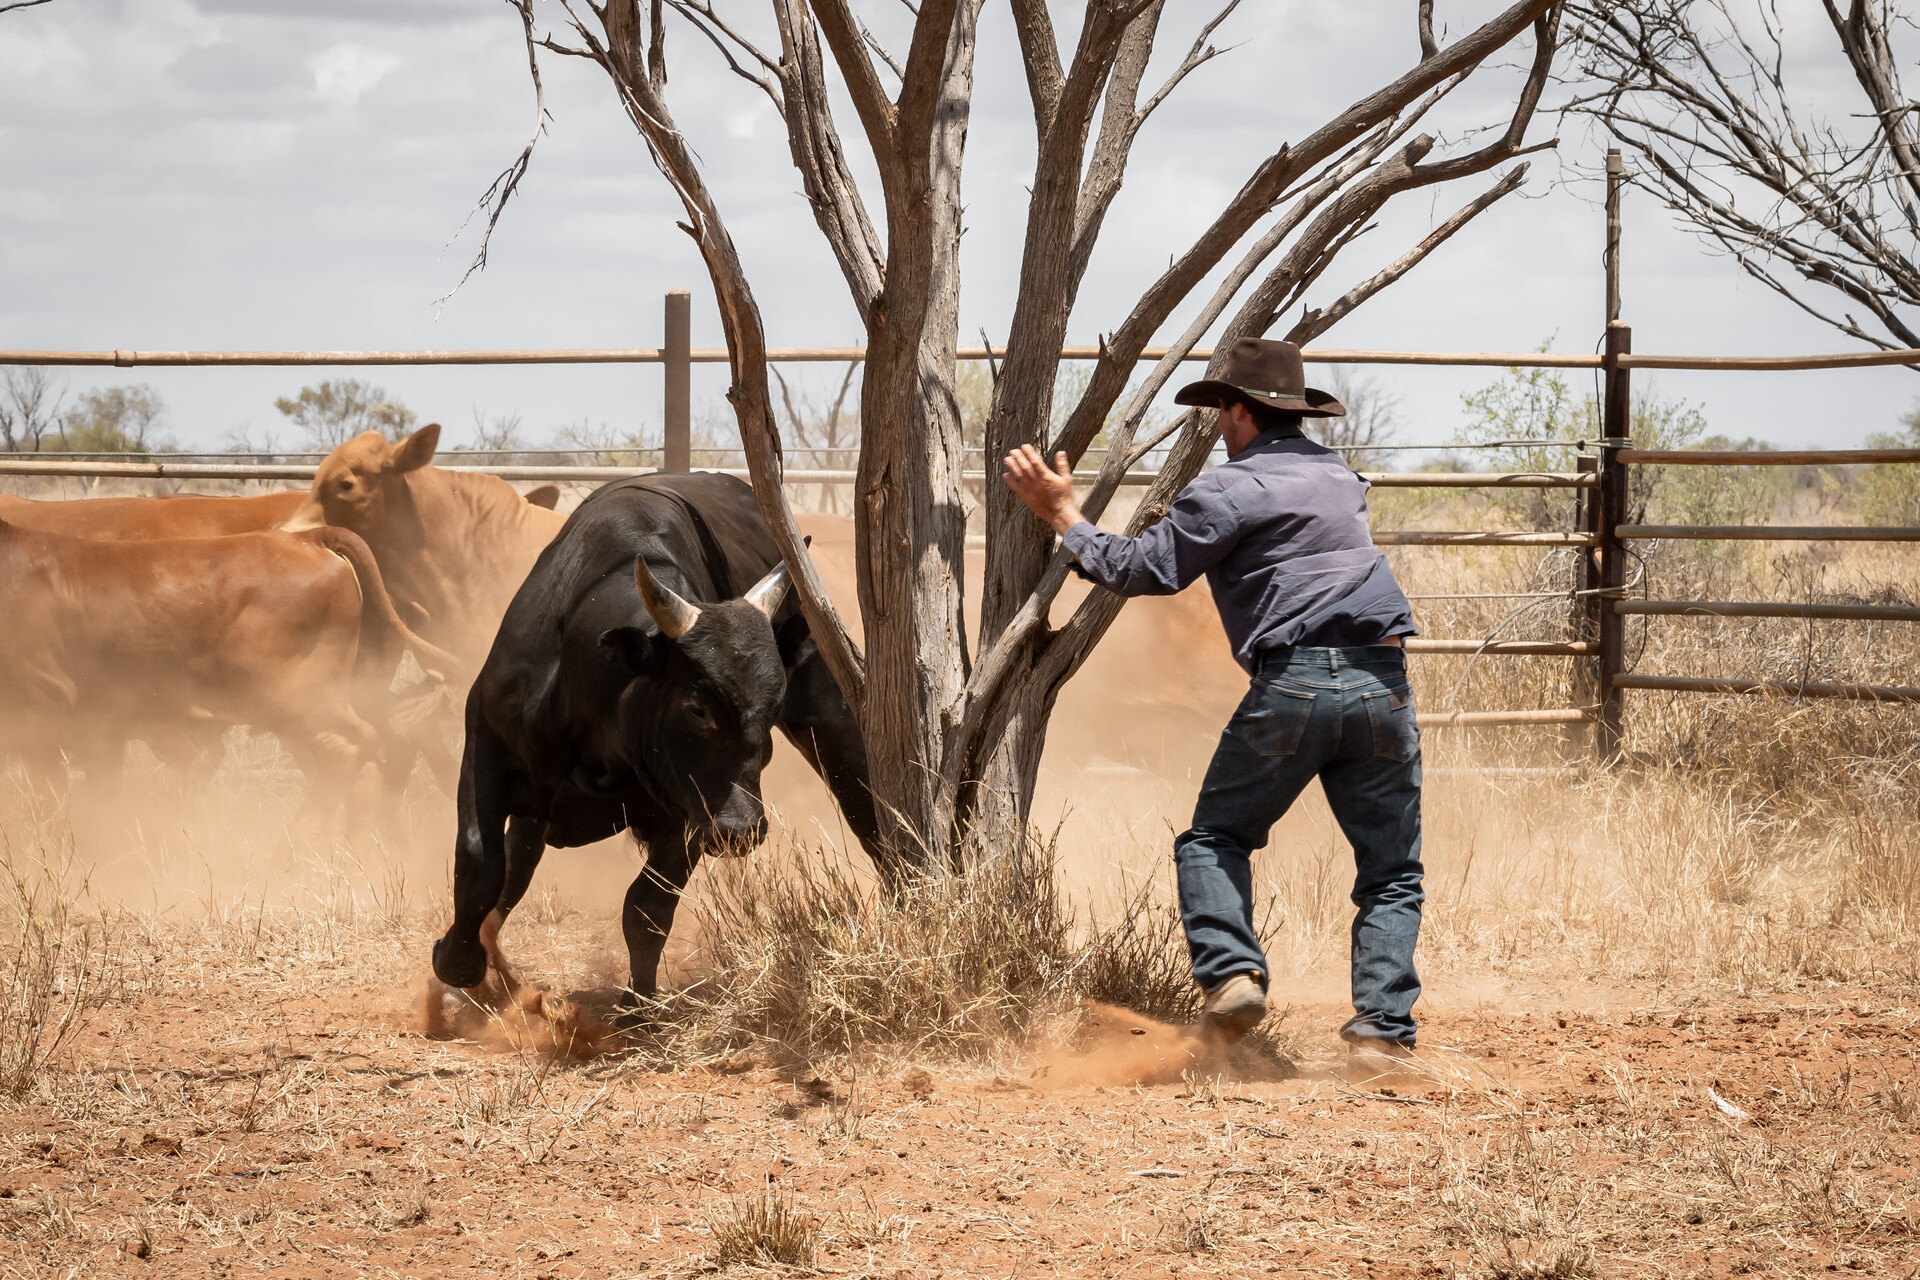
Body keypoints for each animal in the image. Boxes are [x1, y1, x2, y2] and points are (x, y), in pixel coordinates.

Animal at [432, 475, 887, 1005]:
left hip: (828, 713)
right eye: (697, 708)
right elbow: (481, 864)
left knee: (864, 800)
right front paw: (456, 963)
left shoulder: (689, 811)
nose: (741, 830)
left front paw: (638, 1004)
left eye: (772, 708)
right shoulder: (485, 743)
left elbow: (647, 905)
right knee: (516, 864)